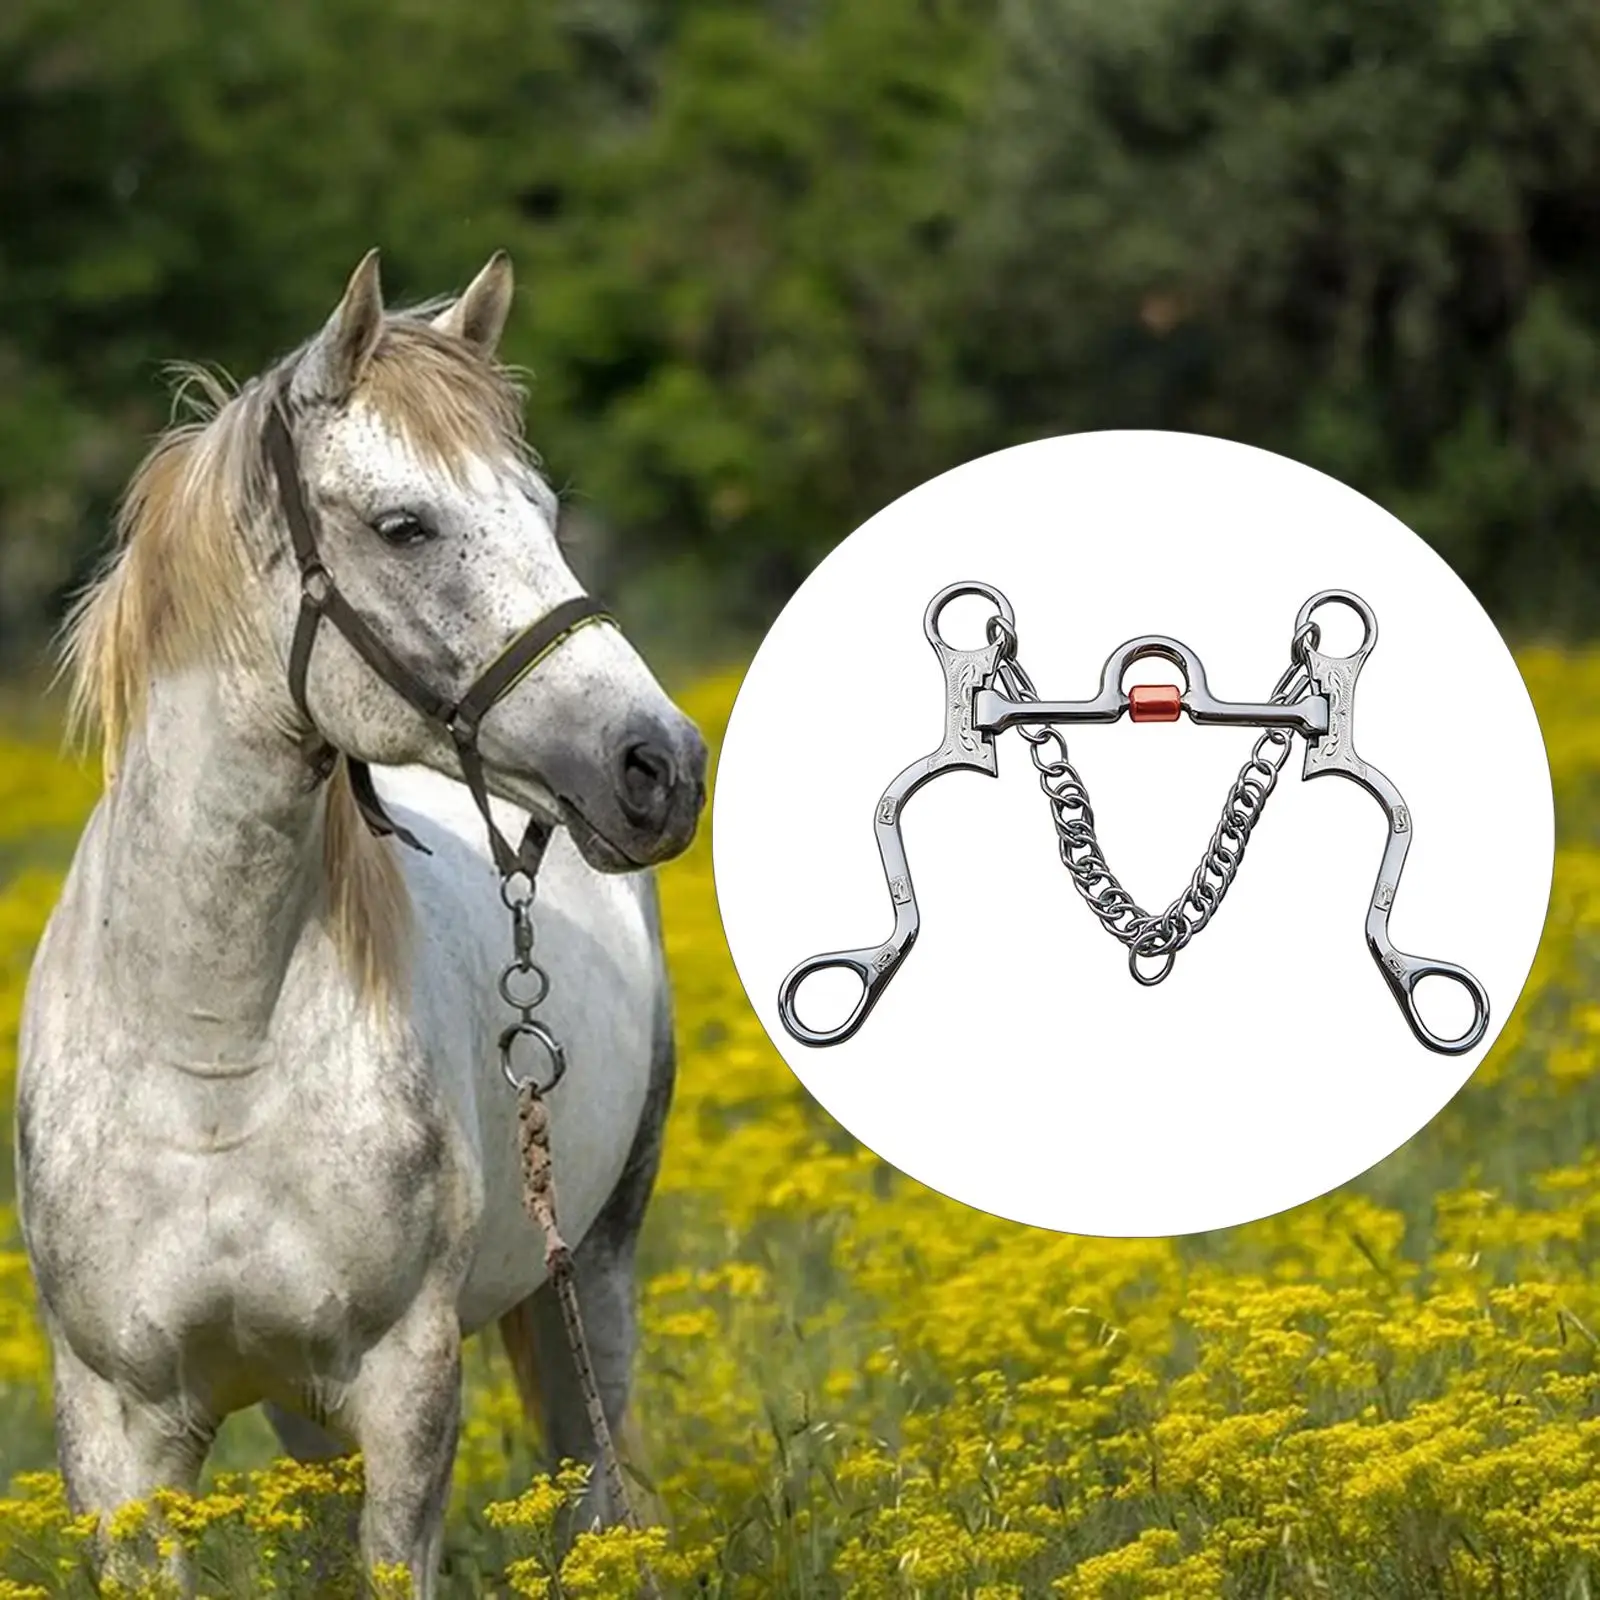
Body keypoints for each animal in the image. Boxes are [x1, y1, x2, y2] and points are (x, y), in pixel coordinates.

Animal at [15, 249, 707, 1593]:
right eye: (404, 526)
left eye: (545, 513)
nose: (659, 764)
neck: (211, 1051)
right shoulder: (118, 1432)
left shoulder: (403, 1388)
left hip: (591, 1274)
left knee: (591, 1487)